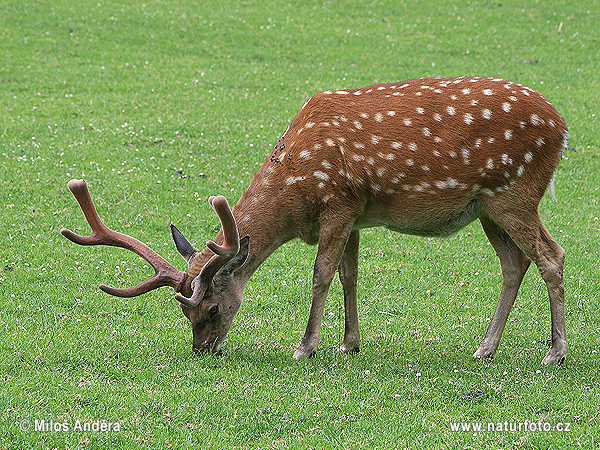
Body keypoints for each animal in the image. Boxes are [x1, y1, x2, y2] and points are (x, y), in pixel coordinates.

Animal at [62, 77, 572, 366]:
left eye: (211, 309)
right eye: (184, 312)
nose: (202, 350)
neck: (297, 191)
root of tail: (563, 127)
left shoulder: (338, 203)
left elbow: (322, 274)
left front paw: (305, 346)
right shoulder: (356, 214)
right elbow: (350, 275)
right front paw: (350, 344)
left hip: (516, 191)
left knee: (552, 255)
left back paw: (555, 352)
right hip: (487, 207)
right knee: (514, 263)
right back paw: (486, 348)